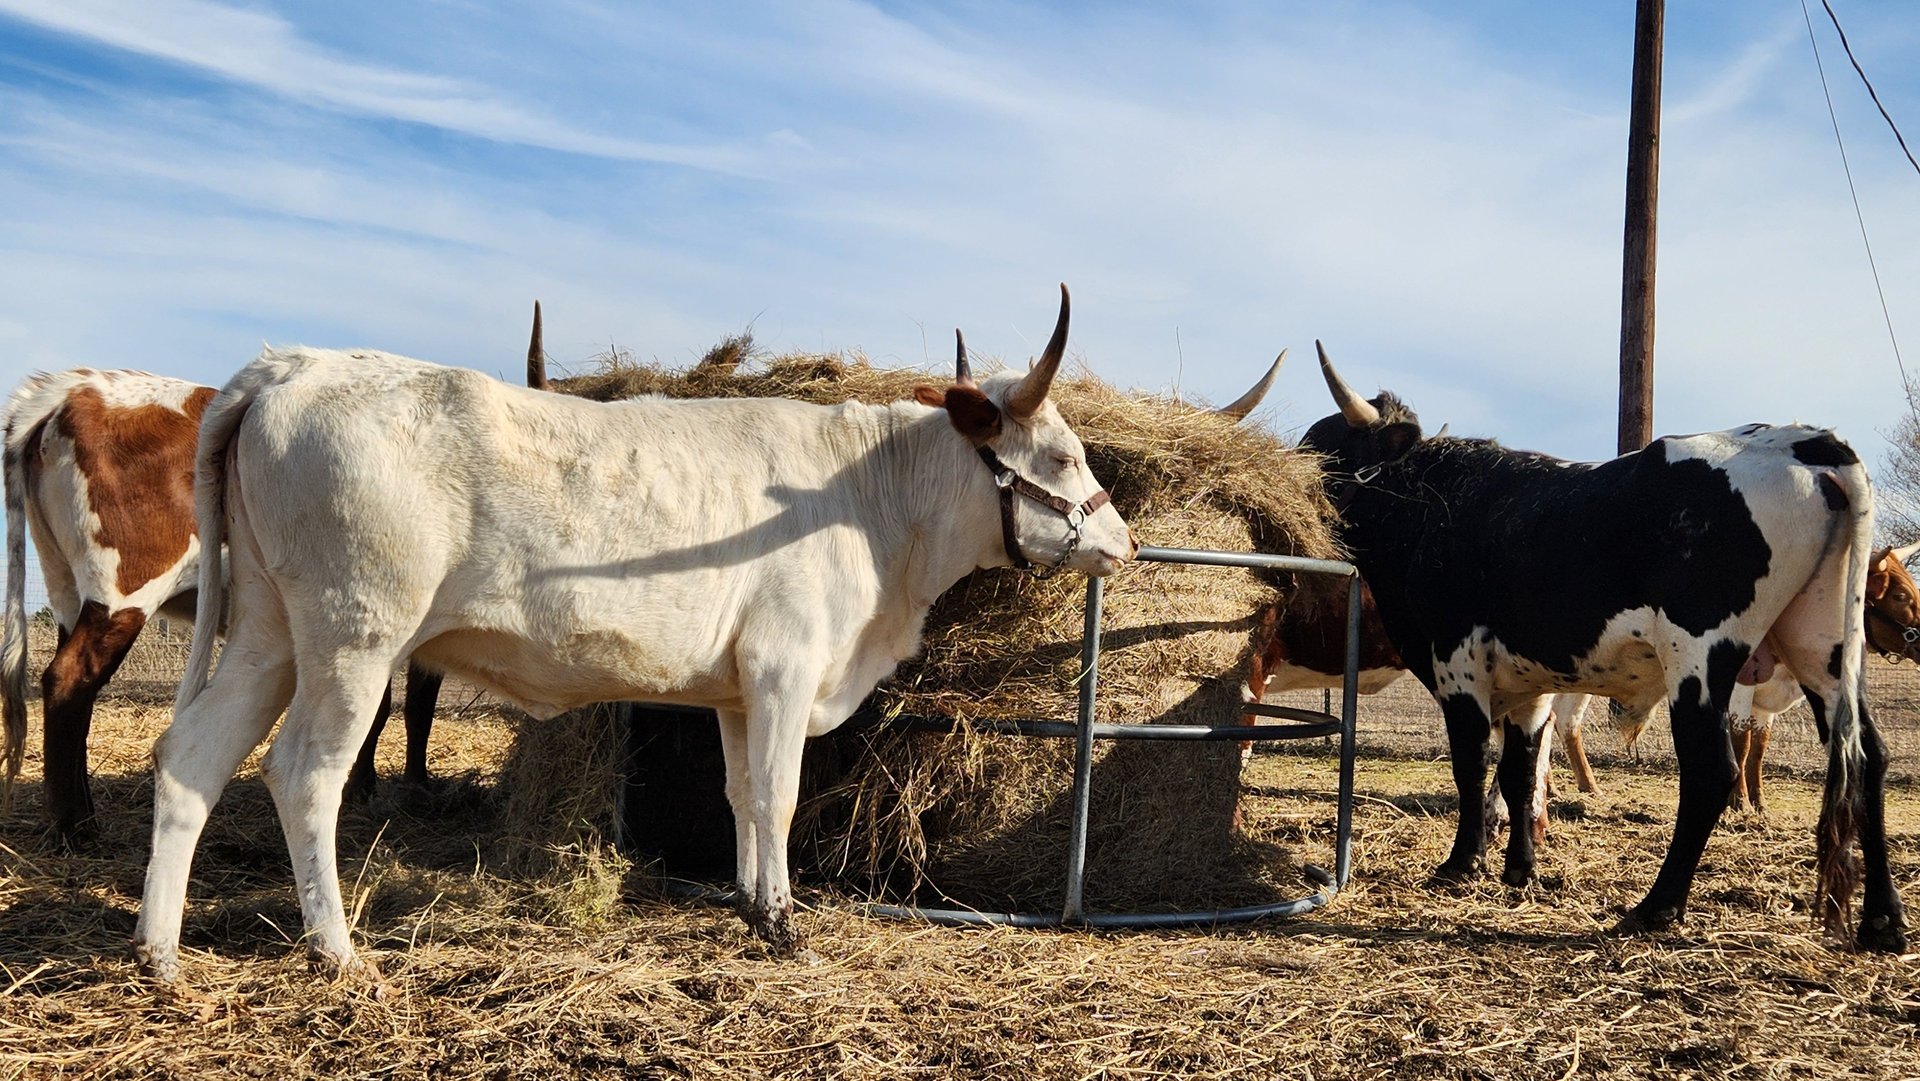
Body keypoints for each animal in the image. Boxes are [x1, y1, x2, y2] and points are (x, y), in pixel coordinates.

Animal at [135, 286, 1128, 983]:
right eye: (1063, 455)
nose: (1121, 538)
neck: (870, 503)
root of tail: (291, 366)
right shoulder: (786, 666)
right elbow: (777, 796)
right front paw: (784, 926)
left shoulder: (739, 686)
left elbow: (738, 794)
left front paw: (749, 900)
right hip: (355, 636)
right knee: (304, 770)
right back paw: (335, 949)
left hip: (267, 630)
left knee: (193, 753)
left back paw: (160, 949)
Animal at [1297, 341, 1896, 952]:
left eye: (1319, 447)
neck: (1435, 507)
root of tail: (1807, 441)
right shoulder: (1530, 684)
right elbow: (1519, 773)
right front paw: (1520, 869)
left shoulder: (1457, 666)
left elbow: (1471, 763)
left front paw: (1462, 864)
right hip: (1821, 646)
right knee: (1868, 756)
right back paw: (1883, 921)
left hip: (1698, 655)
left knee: (1710, 771)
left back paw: (1656, 908)